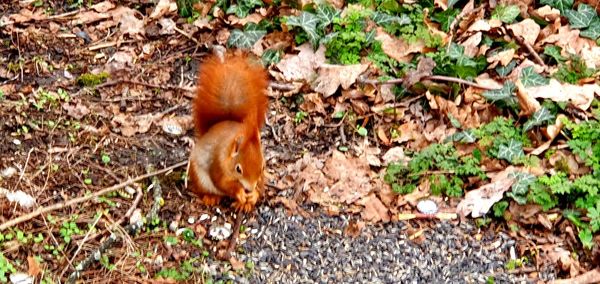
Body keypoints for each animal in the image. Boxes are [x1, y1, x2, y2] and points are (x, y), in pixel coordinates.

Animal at [189, 52, 268, 213]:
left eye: (263, 167)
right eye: (238, 169)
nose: (249, 189)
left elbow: (260, 185)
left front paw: (253, 196)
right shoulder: (218, 165)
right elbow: (223, 184)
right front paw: (240, 193)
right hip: (199, 178)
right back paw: (211, 197)